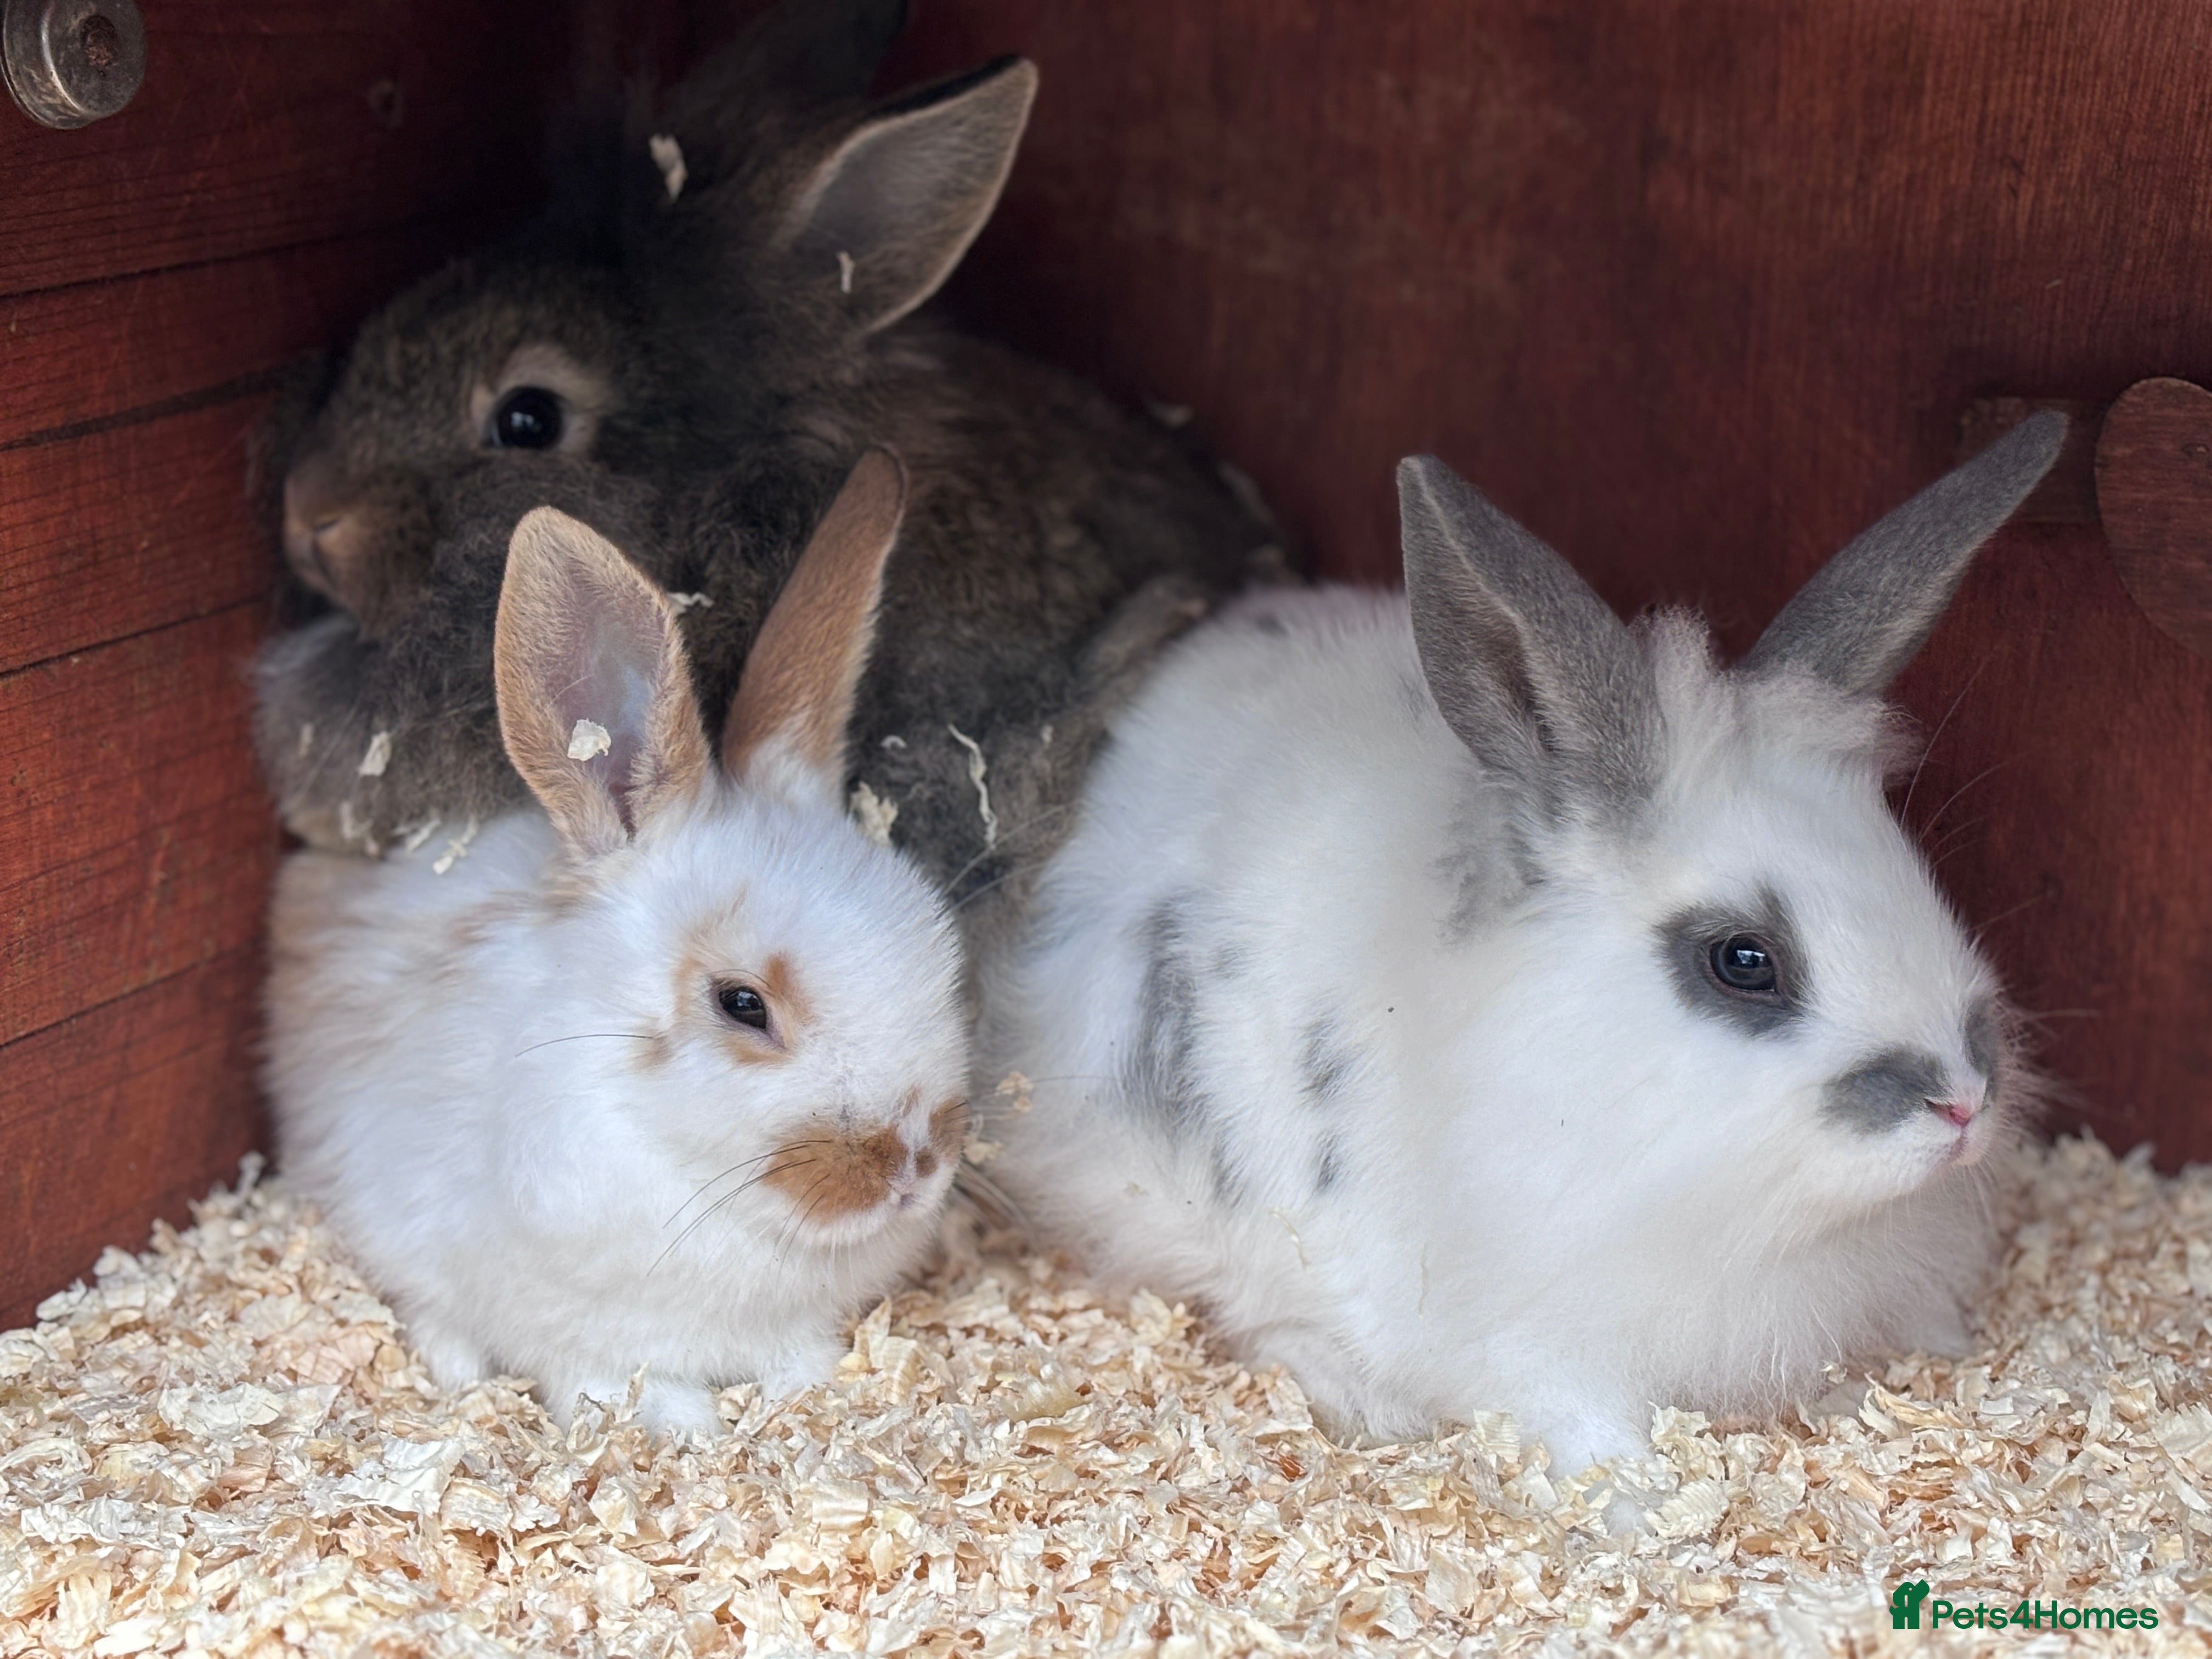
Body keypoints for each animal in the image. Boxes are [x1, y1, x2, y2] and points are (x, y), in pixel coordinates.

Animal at [265, 451, 971, 1433]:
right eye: (742, 1005)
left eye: (943, 962)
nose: (912, 1168)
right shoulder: (579, 1336)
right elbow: (626, 1389)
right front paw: (691, 1432)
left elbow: (800, 1363)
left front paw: (804, 1397)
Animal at [979, 414, 2067, 1492]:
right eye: (1743, 960)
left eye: (1915, 871)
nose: (1961, 1101)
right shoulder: (1539, 1345)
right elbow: (1592, 1434)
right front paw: (1643, 1502)